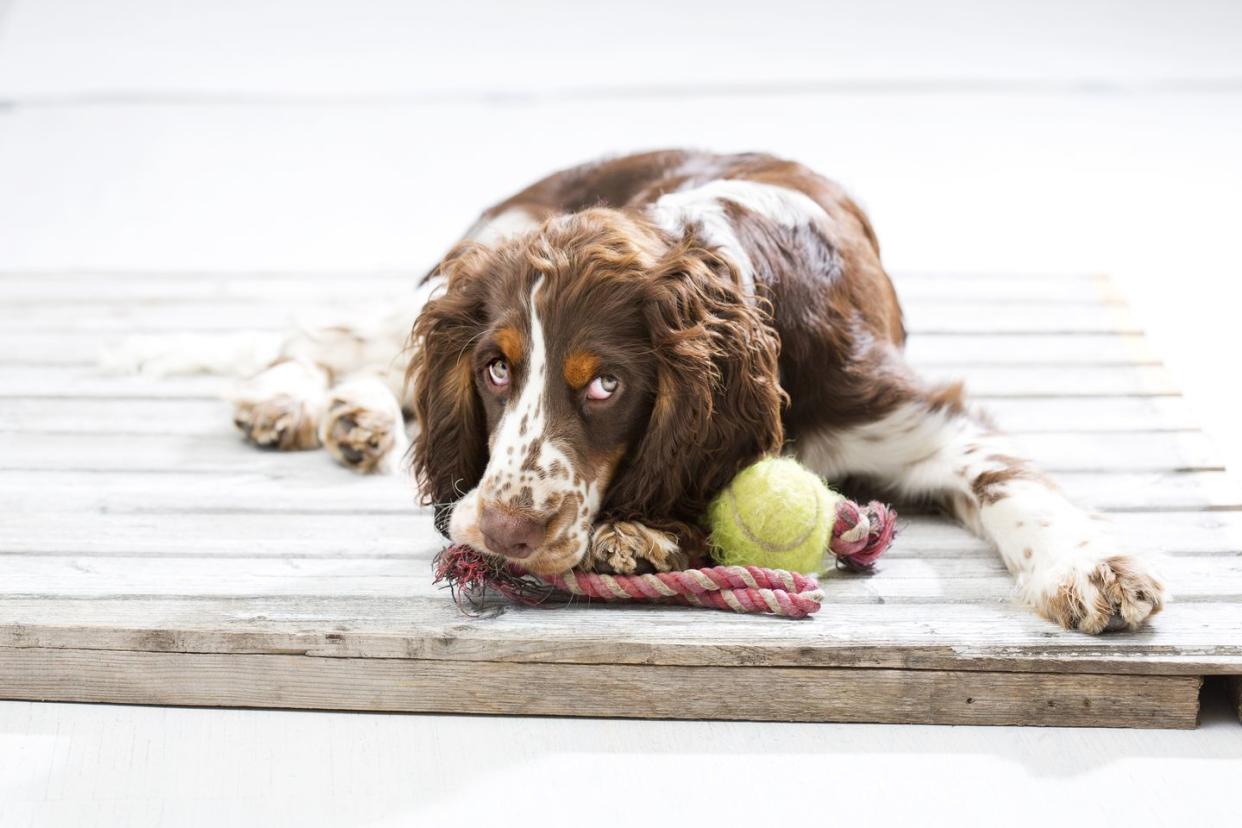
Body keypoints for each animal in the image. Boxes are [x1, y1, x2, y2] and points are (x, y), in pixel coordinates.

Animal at [231, 148, 1162, 630]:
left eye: (606, 384)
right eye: (496, 369)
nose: (503, 532)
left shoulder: (915, 417)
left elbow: (1013, 485)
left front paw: (1092, 570)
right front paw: (648, 533)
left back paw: (354, 418)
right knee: (334, 336)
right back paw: (293, 401)